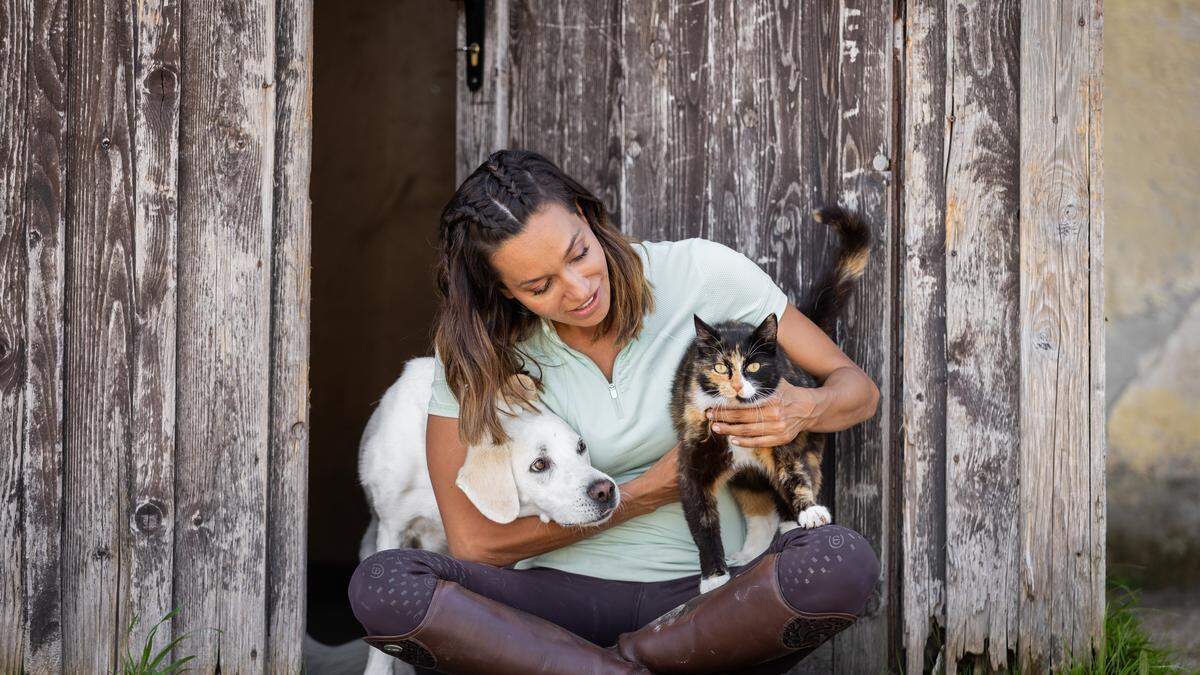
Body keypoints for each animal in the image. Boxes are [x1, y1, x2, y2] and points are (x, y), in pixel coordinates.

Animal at [672, 205, 868, 588]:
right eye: (720, 367)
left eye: (752, 366)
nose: (736, 386)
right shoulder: (693, 457)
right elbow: (701, 520)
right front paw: (714, 577)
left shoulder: (782, 435)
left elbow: (793, 473)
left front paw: (809, 511)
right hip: (744, 476)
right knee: (758, 509)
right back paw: (750, 555)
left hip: (810, 436)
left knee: (797, 477)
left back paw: (794, 523)